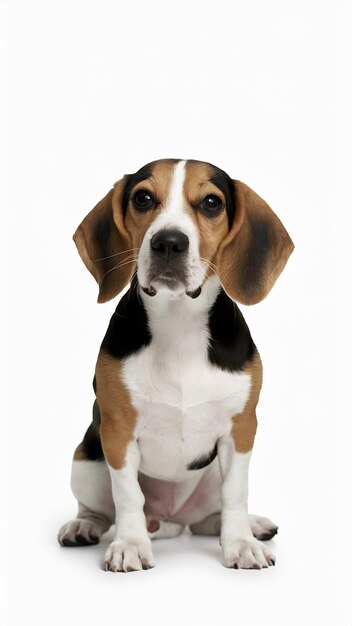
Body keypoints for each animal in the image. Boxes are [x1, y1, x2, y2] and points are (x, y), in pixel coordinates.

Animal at [58, 157, 294, 572]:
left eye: (212, 203)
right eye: (143, 198)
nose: (168, 242)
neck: (179, 321)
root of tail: (169, 519)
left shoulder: (241, 430)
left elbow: (236, 493)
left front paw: (241, 544)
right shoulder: (117, 432)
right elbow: (128, 496)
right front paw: (129, 545)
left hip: (207, 478)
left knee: (208, 518)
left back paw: (250, 526)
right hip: (87, 460)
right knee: (99, 510)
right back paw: (83, 526)